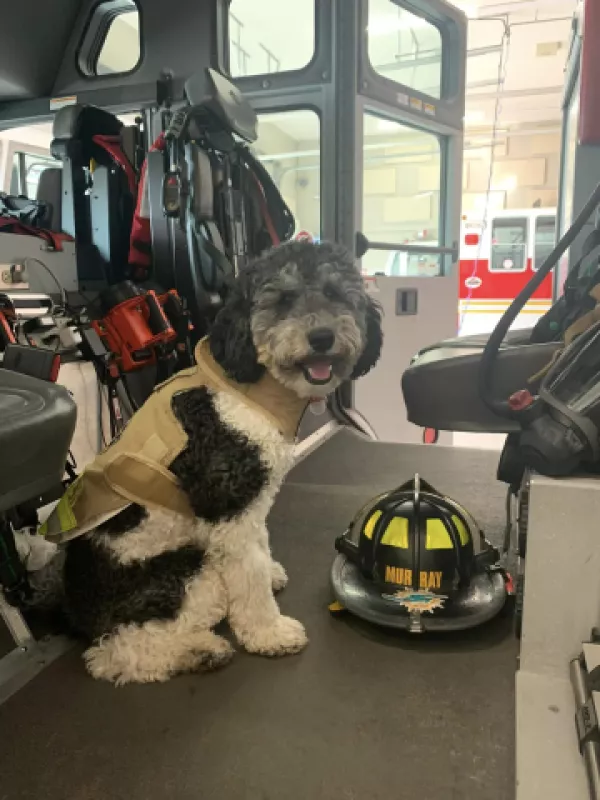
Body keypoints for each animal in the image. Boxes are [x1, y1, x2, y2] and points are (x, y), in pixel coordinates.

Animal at [62, 241, 384, 684]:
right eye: (283, 300)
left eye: (335, 293)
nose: (322, 337)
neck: (251, 386)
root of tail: (75, 610)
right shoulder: (228, 507)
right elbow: (247, 576)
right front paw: (270, 633)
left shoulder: (255, 497)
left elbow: (260, 546)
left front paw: (271, 572)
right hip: (188, 575)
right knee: (114, 651)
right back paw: (199, 650)